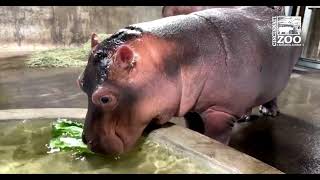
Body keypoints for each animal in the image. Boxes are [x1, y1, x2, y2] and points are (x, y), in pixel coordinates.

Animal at [77, 6, 302, 154]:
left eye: (105, 98)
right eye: (80, 82)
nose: (86, 141)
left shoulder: (220, 111)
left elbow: (215, 137)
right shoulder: (190, 103)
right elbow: (193, 126)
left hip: (280, 77)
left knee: (274, 94)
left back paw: (269, 112)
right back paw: (245, 116)